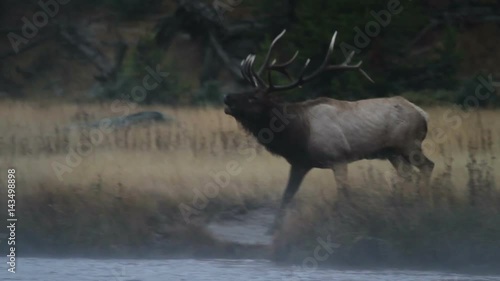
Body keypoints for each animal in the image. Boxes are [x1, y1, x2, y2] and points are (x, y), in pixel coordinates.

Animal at [223, 29, 434, 232]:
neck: (298, 135)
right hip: (392, 152)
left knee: (427, 166)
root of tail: (423, 114)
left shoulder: (338, 158)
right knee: (408, 175)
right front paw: (272, 229)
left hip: (409, 144)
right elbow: (287, 196)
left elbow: (344, 196)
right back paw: (402, 206)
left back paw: (422, 205)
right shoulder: (299, 163)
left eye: (253, 97)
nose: (227, 97)